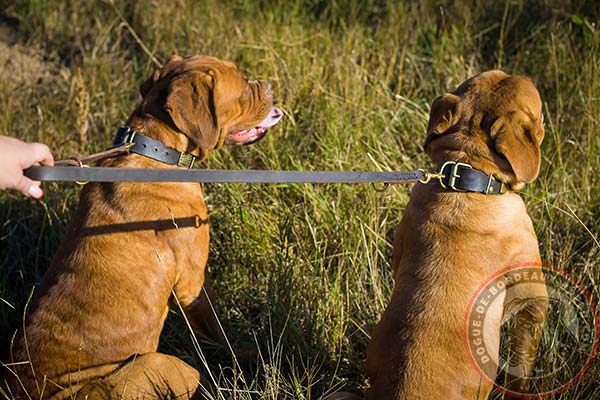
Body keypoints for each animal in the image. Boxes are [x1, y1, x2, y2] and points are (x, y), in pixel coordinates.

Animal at [5, 55, 282, 400]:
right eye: (244, 88)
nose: (268, 85)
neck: (156, 149)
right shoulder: (192, 284)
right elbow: (220, 332)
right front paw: (242, 355)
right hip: (160, 363)